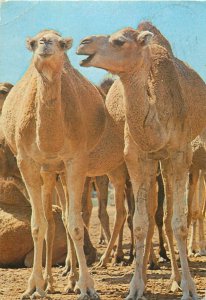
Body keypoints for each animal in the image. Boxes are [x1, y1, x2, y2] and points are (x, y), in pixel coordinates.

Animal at [1, 28, 130, 300]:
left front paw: (87, 286)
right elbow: (38, 224)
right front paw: (34, 287)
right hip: (53, 172)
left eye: (61, 43)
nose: (45, 43)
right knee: (55, 217)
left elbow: (76, 225)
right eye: (33, 43)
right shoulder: (27, 163)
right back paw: (57, 280)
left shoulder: (76, 161)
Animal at [77, 21, 206, 300]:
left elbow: (178, 222)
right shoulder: (135, 158)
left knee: (166, 217)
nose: (83, 43)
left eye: (119, 41)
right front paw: (135, 287)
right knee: (150, 214)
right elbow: (139, 222)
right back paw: (148, 276)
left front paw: (189, 288)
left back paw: (174, 279)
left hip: (167, 163)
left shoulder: (180, 155)